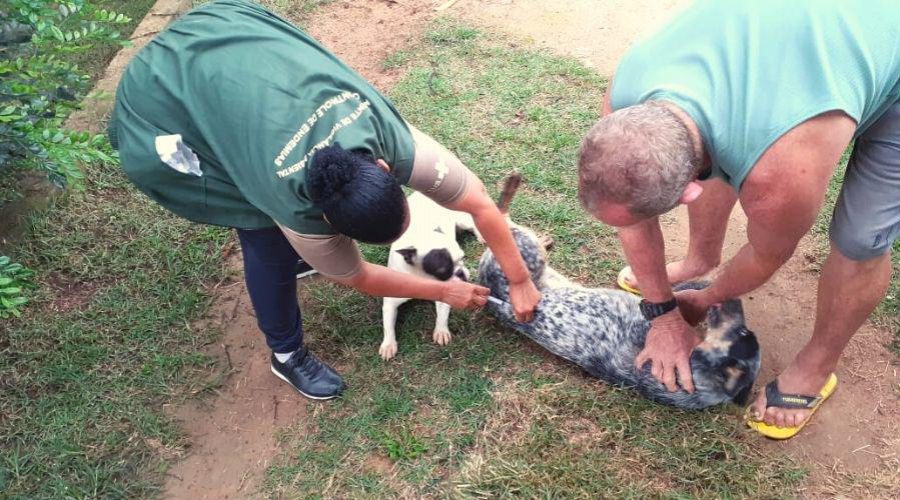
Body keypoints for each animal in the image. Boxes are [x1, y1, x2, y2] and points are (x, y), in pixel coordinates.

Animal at [380, 191, 482, 360]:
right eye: (442, 271)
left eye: (463, 257)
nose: (461, 273)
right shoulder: (390, 301)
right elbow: (388, 325)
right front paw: (388, 344)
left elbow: (442, 314)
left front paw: (441, 331)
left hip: (461, 220)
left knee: (473, 223)